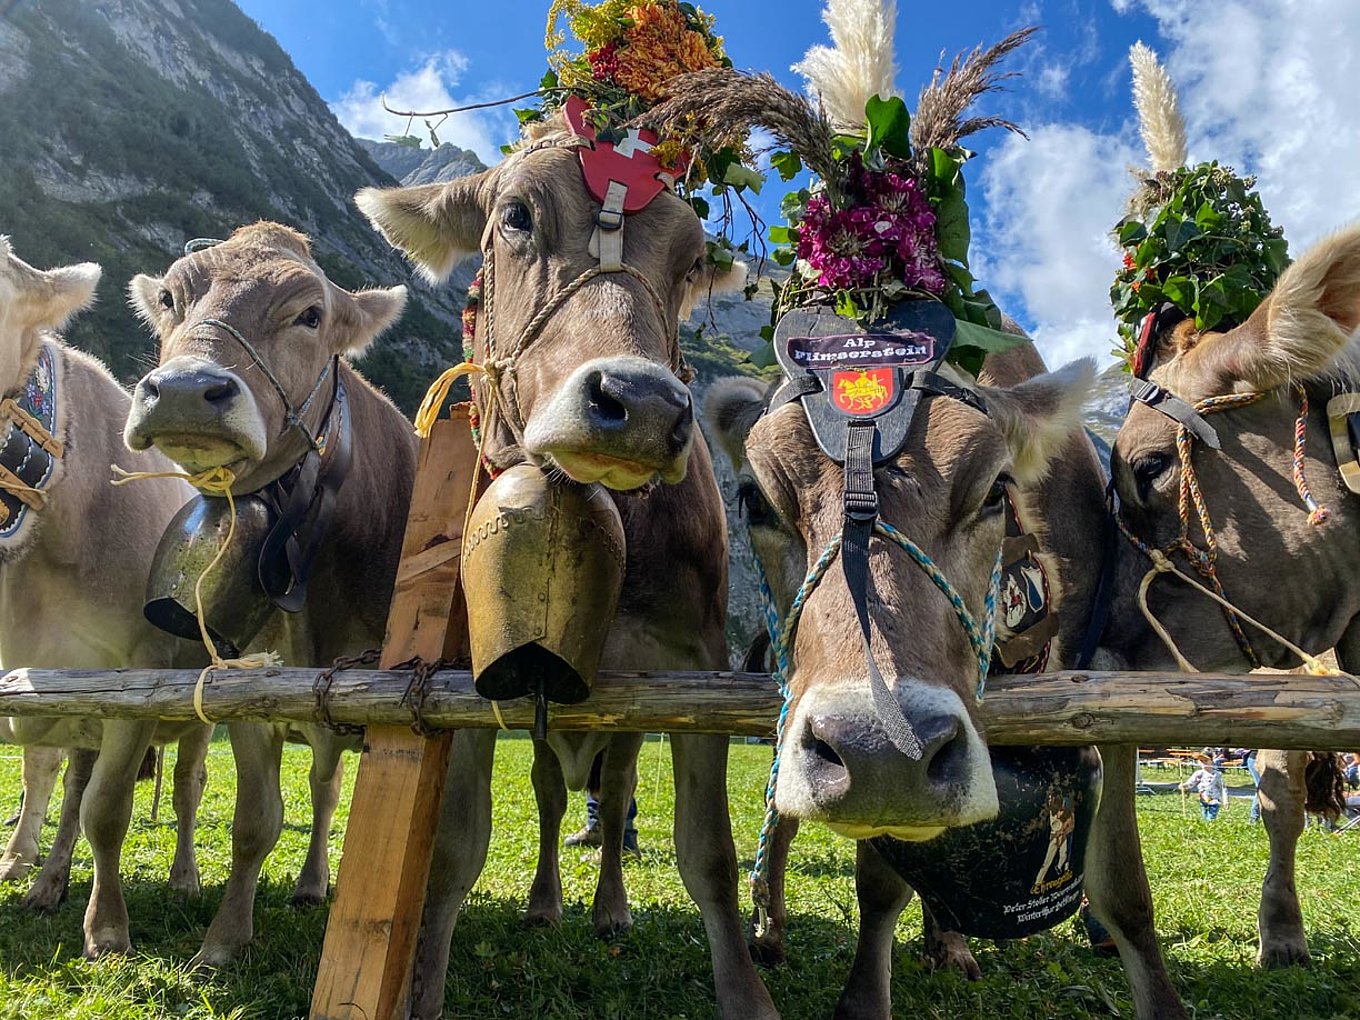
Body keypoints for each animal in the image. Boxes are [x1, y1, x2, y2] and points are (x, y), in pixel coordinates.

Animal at [124, 223, 410, 968]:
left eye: (310, 314)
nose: (185, 390)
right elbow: (256, 821)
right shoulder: (248, 684)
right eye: (169, 298)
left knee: (327, 789)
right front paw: (223, 942)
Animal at [356, 108, 772, 1017]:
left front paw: (747, 995)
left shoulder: (697, 668)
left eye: (692, 260)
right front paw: (423, 986)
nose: (642, 405)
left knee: (609, 803)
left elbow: (708, 855)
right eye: (515, 216)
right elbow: (453, 850)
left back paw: (609, 907)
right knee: (553, 797)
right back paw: (547, 901)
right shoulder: (466, 678)